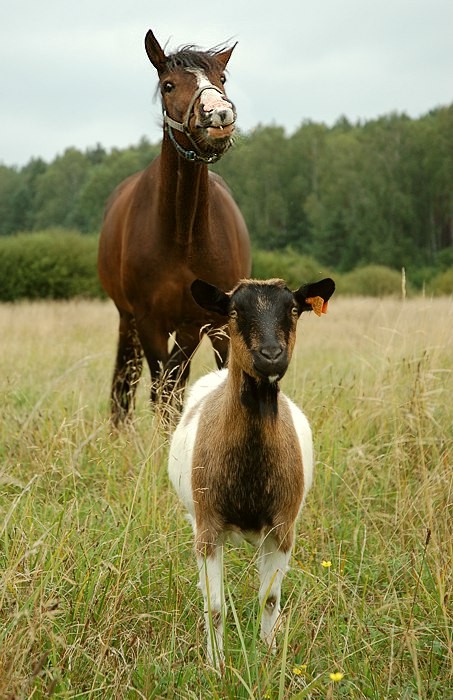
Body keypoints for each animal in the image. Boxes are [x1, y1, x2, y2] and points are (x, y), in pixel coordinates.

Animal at [97, 28, 251, 426]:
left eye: (221, 78)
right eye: (168, 85)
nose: (219, 114)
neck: (182, 236)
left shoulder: (201, 323)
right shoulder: (148, 321)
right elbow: (161, 392)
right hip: (128, 321)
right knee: (127, 380)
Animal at [168, 274, 334, 668]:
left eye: (294, 309)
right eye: (233, 311)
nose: (271, 355)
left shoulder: (282, 529)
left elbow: (269, 599)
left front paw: (269, 654)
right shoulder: (208, 529)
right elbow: (214, 606)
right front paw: (216, 666)